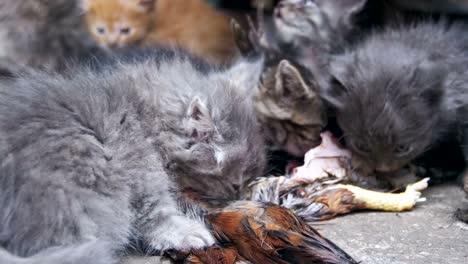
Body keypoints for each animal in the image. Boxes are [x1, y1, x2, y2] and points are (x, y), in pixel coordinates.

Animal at [0, 49, 266, 264]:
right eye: (235, 185)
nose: (239, 196)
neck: (142, 116)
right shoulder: (142, 175)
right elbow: (156, 214)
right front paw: (187, 232)